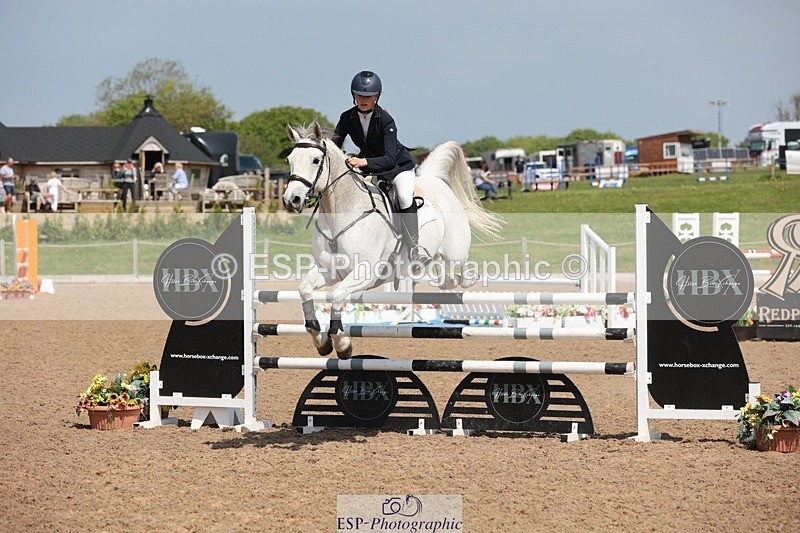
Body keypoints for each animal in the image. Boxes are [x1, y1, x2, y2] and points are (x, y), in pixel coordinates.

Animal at [283, 121, 503, 359]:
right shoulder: (331, 270)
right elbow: (305, 289)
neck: (340, 213)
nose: (291, 200)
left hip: (456, 252)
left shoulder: (365, 272)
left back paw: (456, 280)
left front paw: (342, 343)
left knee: (464, 270)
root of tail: (434, 180)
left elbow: (336, 295)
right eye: (289, 159)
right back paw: (445, 279)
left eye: (315, 160)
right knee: (441, 269)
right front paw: (321, 340)